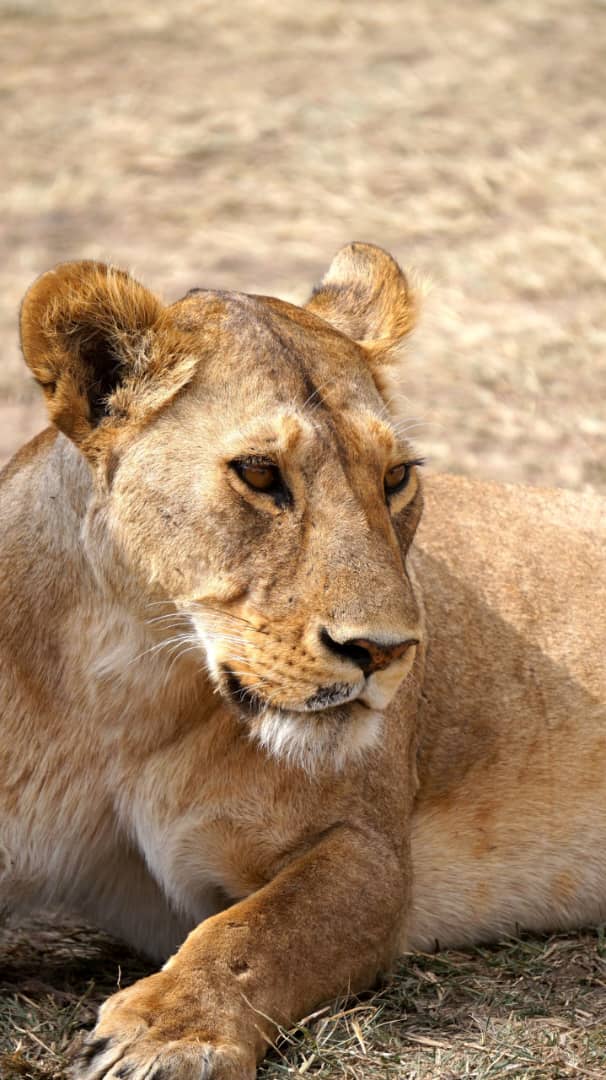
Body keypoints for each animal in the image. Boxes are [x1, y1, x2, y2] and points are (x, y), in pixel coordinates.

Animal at [0, 243, 604, 1080]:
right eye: (259, 474)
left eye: (395, 477)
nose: (384, 651)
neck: (120, 685)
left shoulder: (368, 852)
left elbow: (255, 934)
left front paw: (166, 1030)